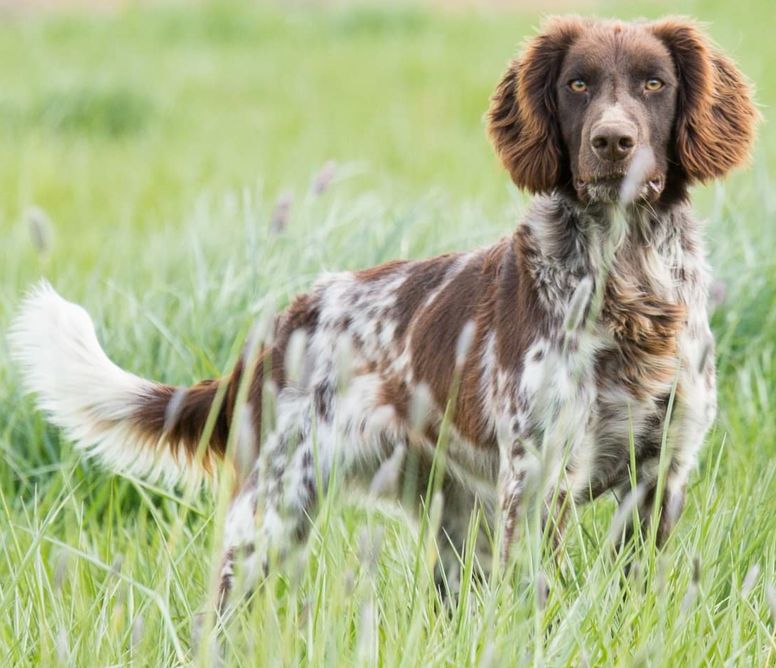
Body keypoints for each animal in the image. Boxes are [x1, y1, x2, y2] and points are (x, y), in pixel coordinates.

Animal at [9, 15, 756, 612]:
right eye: (578, 85)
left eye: (654, 84)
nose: (612, 142)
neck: (628, 280)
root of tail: (279, 327)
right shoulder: (540, 476)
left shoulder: (660, 473)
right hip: (275, 506)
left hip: (455, 513)